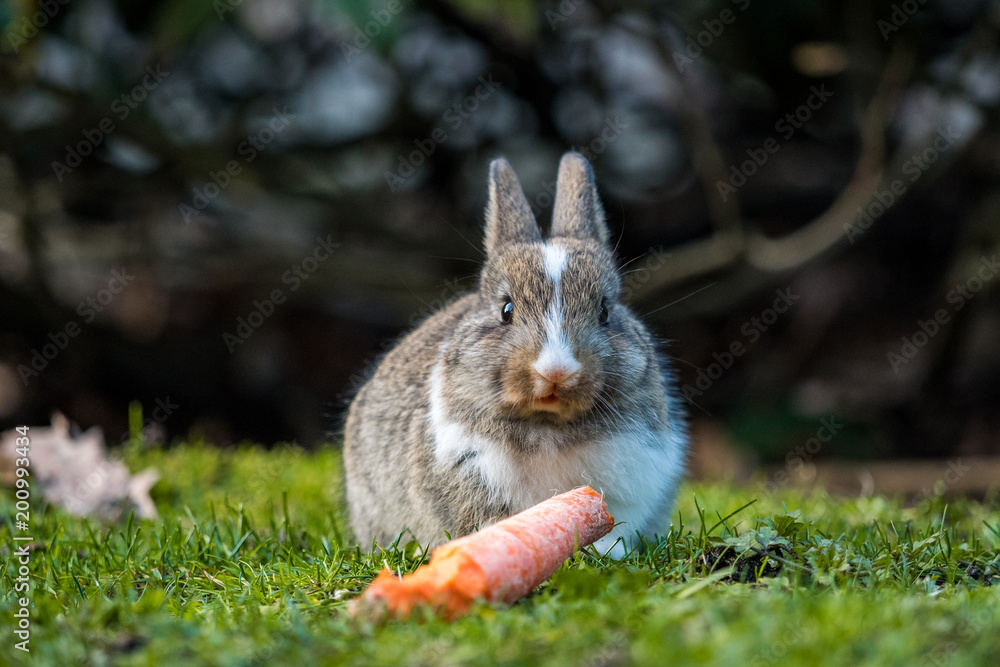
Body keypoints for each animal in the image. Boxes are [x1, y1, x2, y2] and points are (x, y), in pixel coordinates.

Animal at [343, 152, 688, 558]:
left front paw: (607, 551)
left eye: (604, 311)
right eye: (505, 310)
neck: (548, 422)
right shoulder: (467, 465)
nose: (556, 371)